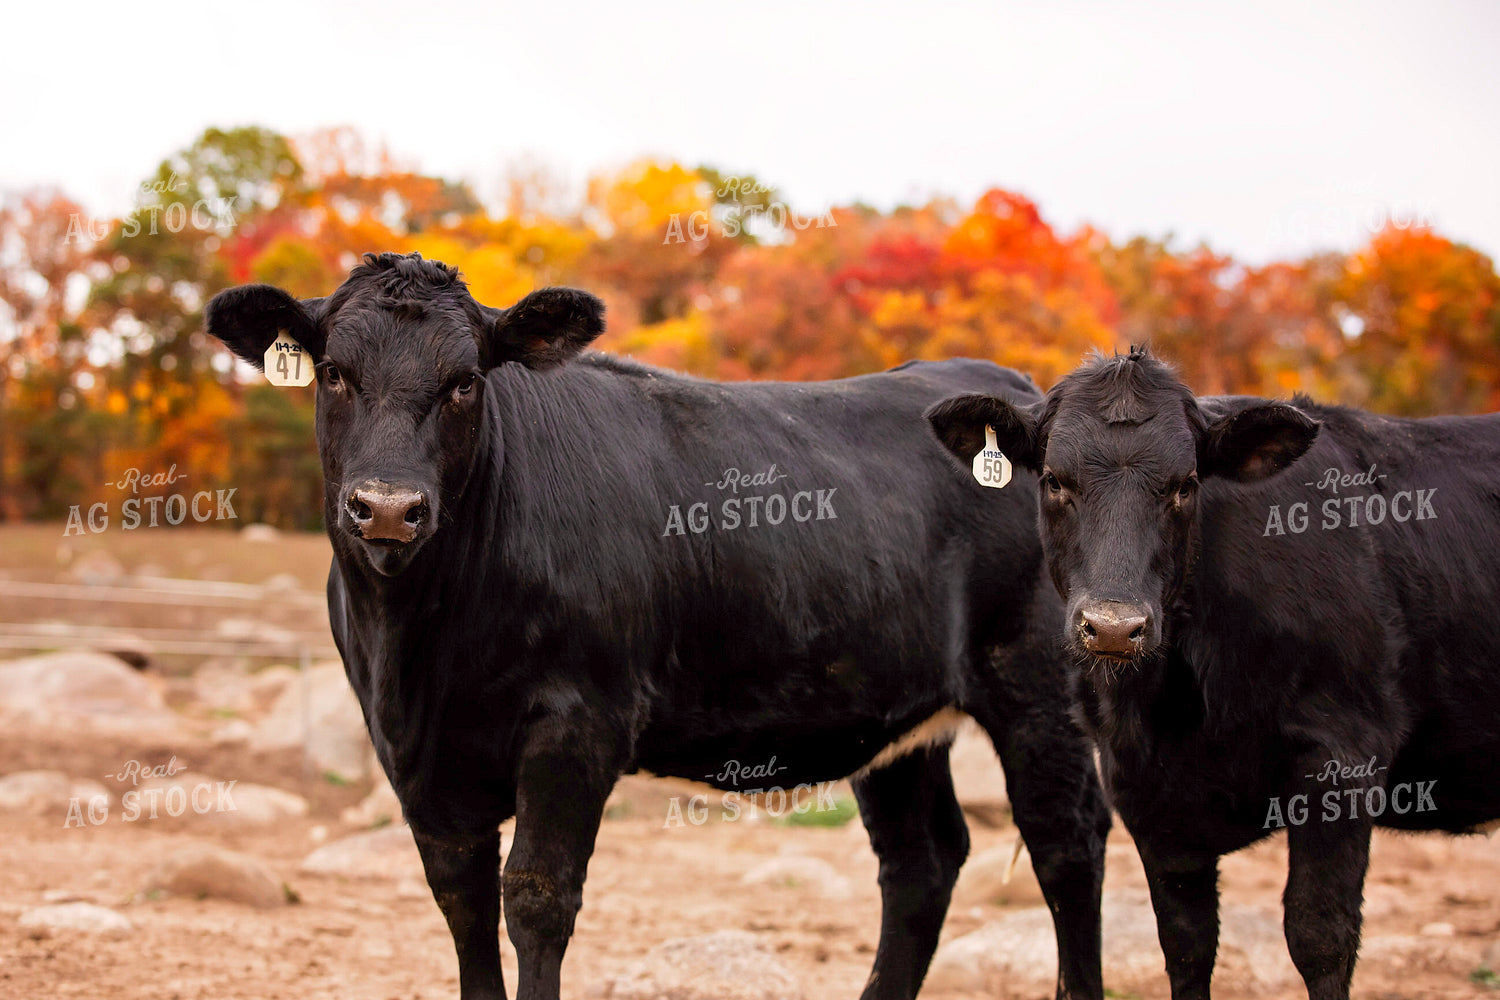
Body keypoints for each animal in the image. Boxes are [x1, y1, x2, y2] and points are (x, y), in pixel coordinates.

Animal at [204, 251, 1110, 1000]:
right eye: (333, 373)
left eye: (465, 380)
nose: (388, 507)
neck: (417, 645)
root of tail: (1011, 392)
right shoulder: (414, 754)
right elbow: (462, 903)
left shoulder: (579, 723)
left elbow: (536, 896)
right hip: (893, 711)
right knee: (921, 860)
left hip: (1039, 685)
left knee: (1067, 841)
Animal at [926, 346, 1500, 1000]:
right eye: (1053, 481)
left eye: (1186, 485)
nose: (1115, 627)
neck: (1180, 706)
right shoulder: (1146, 792)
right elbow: (1186, 943)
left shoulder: (1344, 753)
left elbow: (1320, 935)